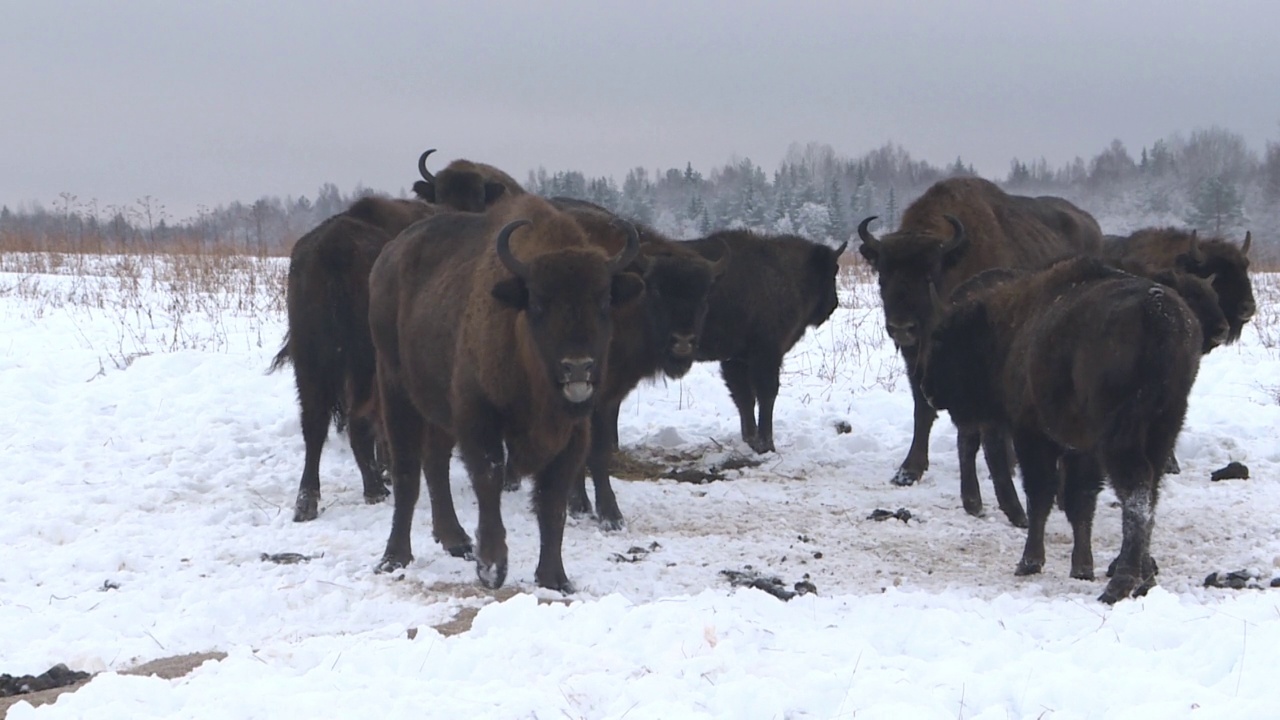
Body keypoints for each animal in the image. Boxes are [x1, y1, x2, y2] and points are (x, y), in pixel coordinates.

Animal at [368, 192, 650, 589]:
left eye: (604, 300)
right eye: (538, 302)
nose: (578, 366)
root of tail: (387, 259)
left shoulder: (571, 434)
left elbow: (552, 503)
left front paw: (554, 578)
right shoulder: (479, 420)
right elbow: (489, 484)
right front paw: (491, 568)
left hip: (437, 410)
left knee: (435, 463)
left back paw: (455, 540)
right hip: (395, 388)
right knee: (407, 471)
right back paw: (394, 558)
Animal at [855, 176, 1105, 484]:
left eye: (929, 274)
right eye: (883, 274)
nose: (902, 327)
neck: (955, 261)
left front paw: (1007, 464)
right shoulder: (917, 358)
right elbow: (922, 409)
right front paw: (908, 470)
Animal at [921, 254, 1198, 602]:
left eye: (941, 338)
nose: (928, 389)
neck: (1011, 326)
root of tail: (1157, 314)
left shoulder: (1033, 435)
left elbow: (1042, 495)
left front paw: (1029, 562)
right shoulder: (1080, 447)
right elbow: (1081, 502)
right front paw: (1082, 567)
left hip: (1121, 435)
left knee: (1135, 491)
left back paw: (1119, 585)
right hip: (1164, 428)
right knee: (1150, 493)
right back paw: (1145, 579)